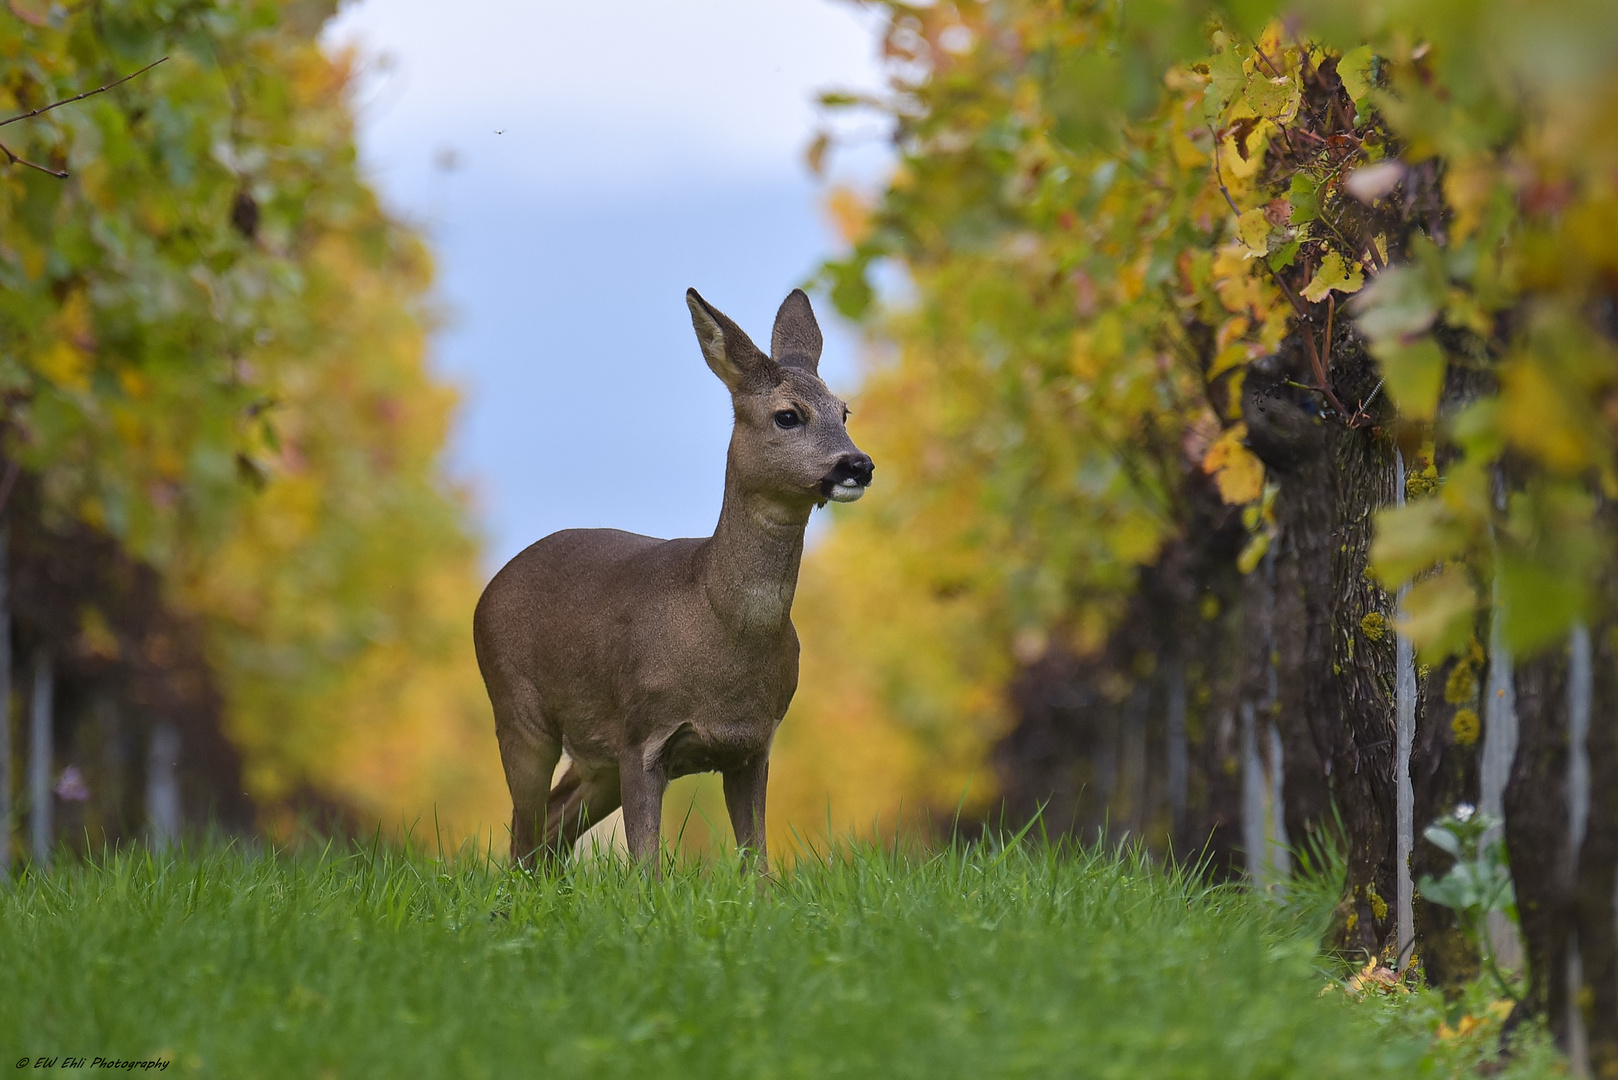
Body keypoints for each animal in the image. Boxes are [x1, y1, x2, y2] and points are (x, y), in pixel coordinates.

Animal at [472, 284, 873, 867]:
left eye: (844, 411)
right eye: (787, 416)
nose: (857, 465)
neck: (720, 623)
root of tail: (490, 587)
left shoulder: (754, 743)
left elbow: (758, 862)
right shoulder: (641, 733)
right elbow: (646, 867)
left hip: (595, 758)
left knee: (551, 824)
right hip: (517, 707)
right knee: (524, 833)